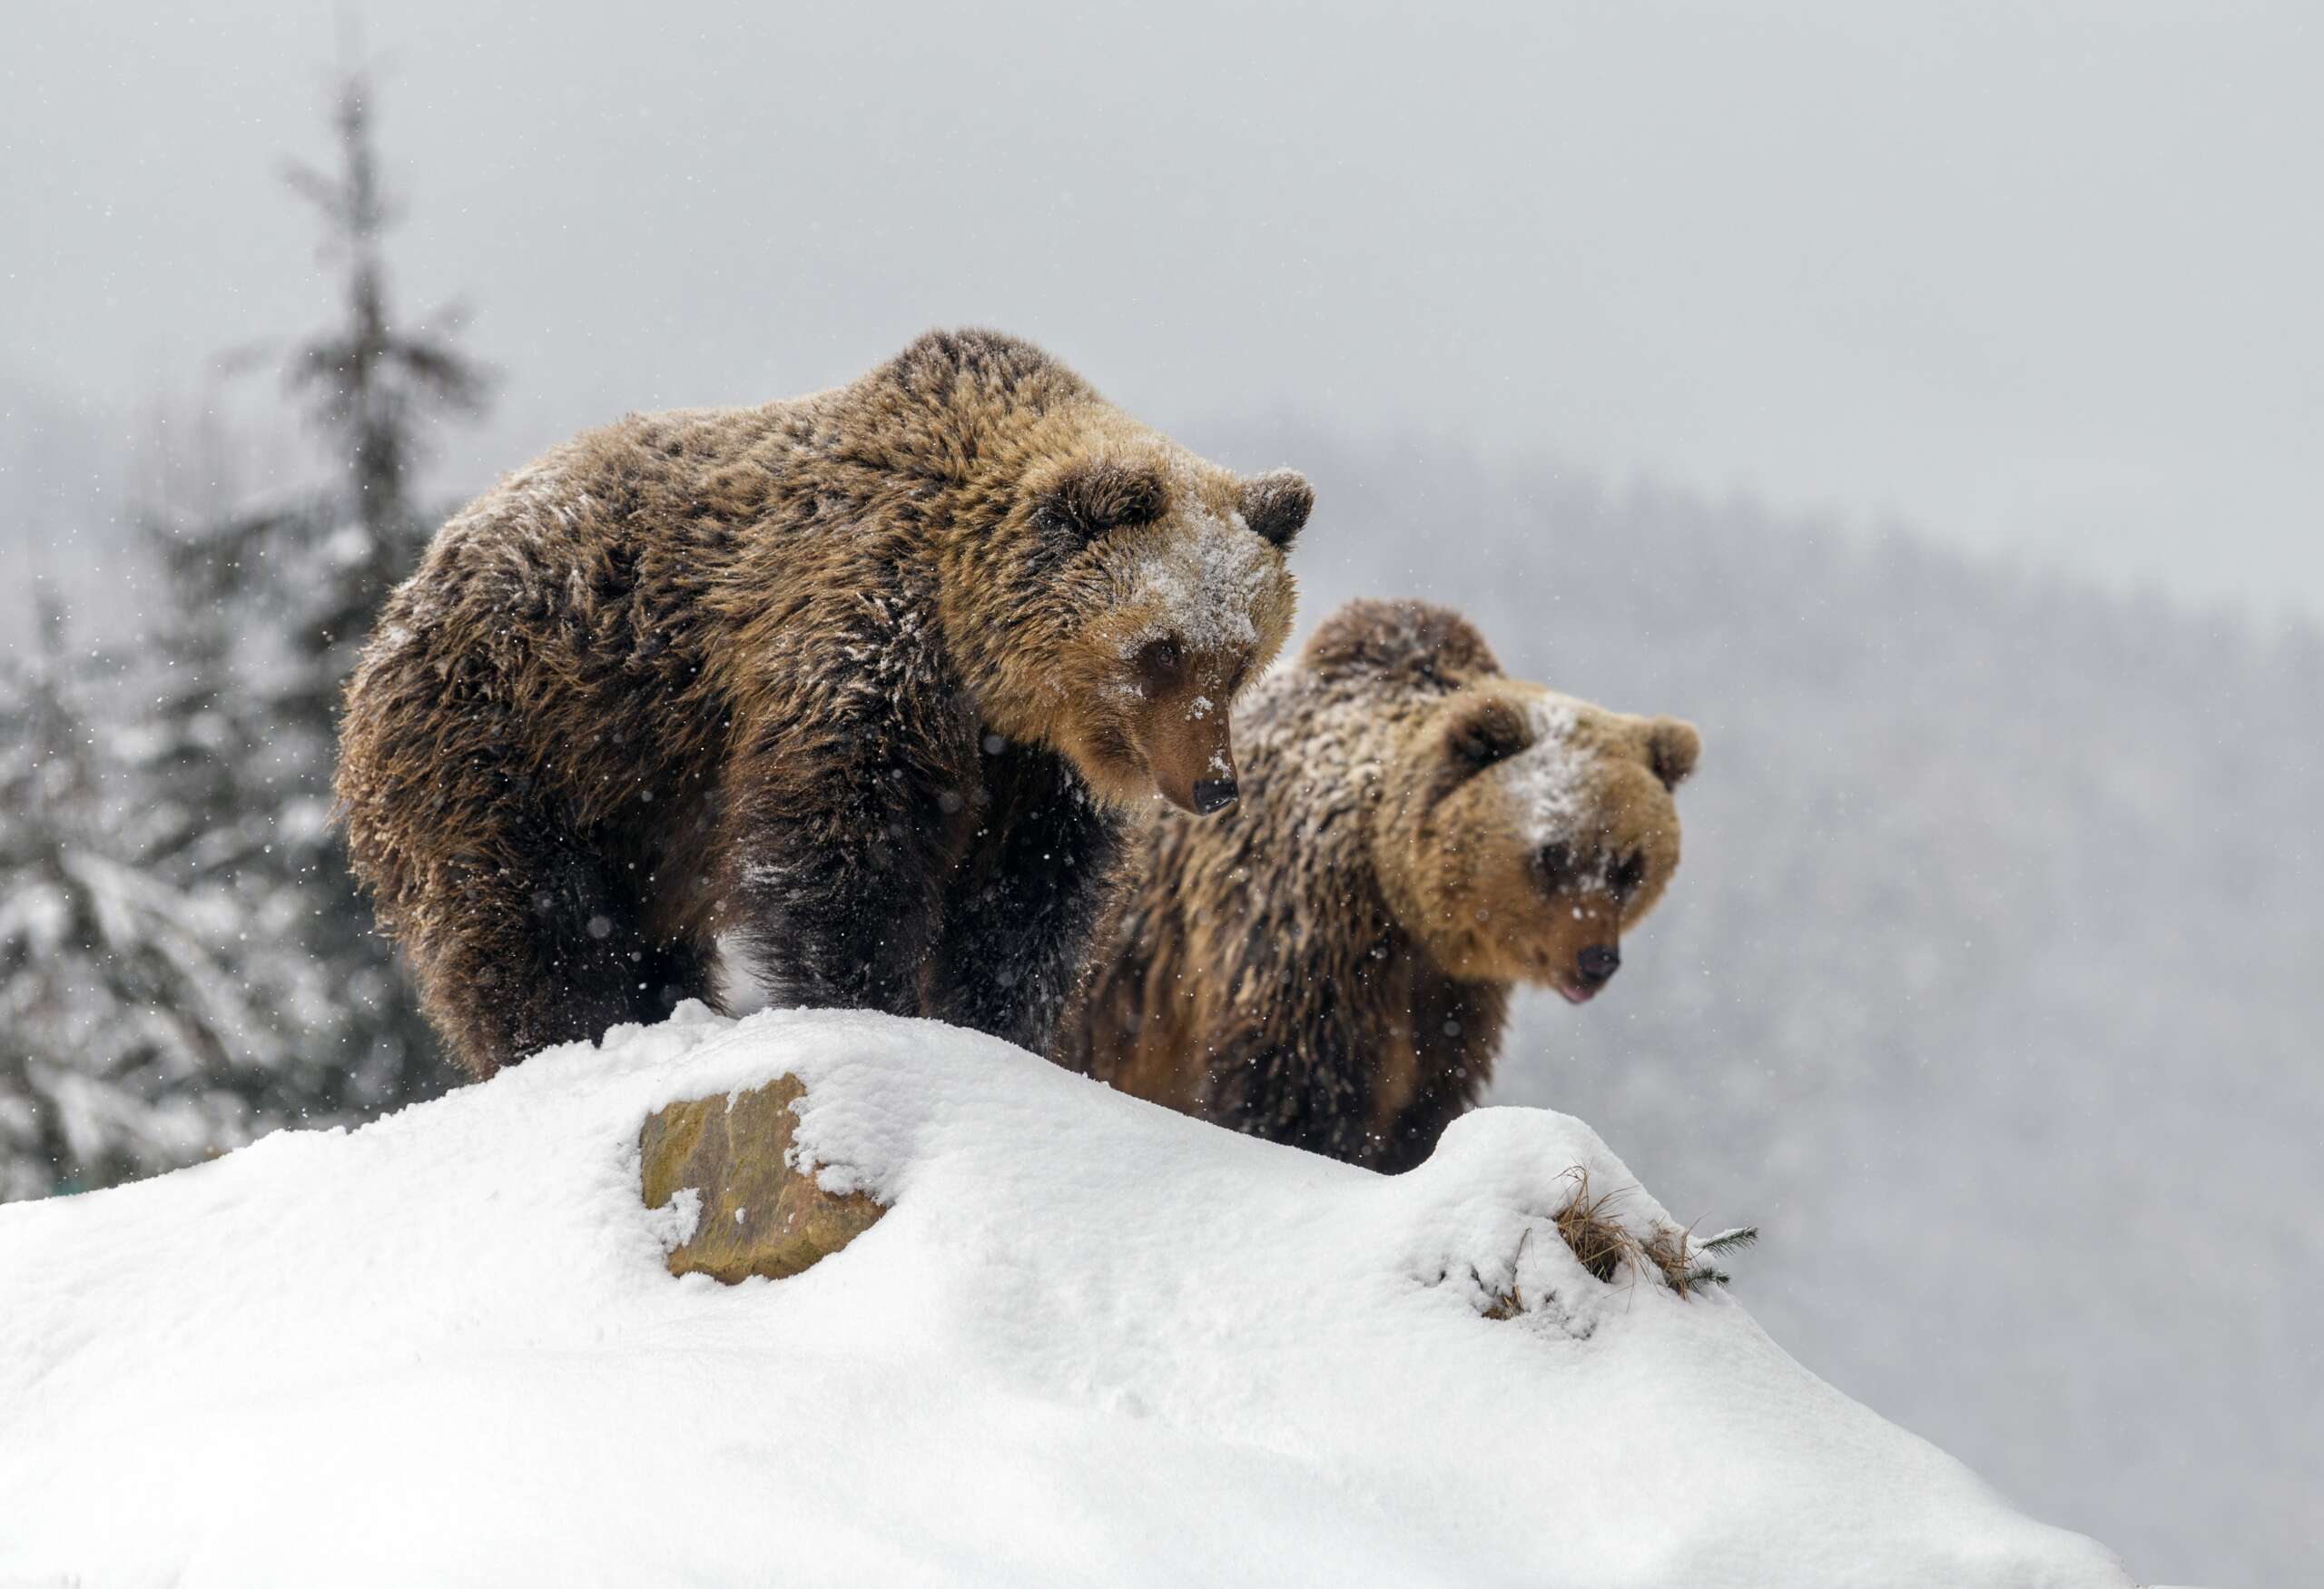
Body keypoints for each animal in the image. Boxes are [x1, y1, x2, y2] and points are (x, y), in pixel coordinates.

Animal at [332, 331, 1310, 1078]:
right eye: (1160, 650)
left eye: (1240, 659)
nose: (1214, 784)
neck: (979, 659)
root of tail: (404, 599)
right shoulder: (863, 656)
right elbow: (841, 859)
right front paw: (870, 1006)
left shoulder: (1030, 773)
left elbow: (1022, 908)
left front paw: (1001, 1023)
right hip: (519, 742)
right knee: (529, 922)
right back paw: (570, 1034)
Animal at [1064, 604, 1700, 1170]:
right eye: (1552, 854)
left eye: (1631, 867)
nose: (1596, 959)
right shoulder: (1307, 937)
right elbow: (1293, 1089)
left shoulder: (1449, 1000)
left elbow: (1423, 1105)